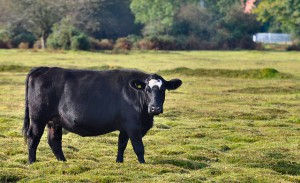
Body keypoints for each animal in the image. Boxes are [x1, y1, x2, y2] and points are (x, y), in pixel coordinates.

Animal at [22, 66, 182, 164]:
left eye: (163, 89)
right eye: (147, 89)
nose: (155, 108)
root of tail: (42, 69)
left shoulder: (124, 126)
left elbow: (121, 145)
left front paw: (119, 162)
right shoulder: (133, 126)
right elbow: (138, 147)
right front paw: (143, 164)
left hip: (54, 121)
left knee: (54, 141)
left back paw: (63, 161)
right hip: (38, 118)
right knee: (33, 137)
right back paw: (32, 162)